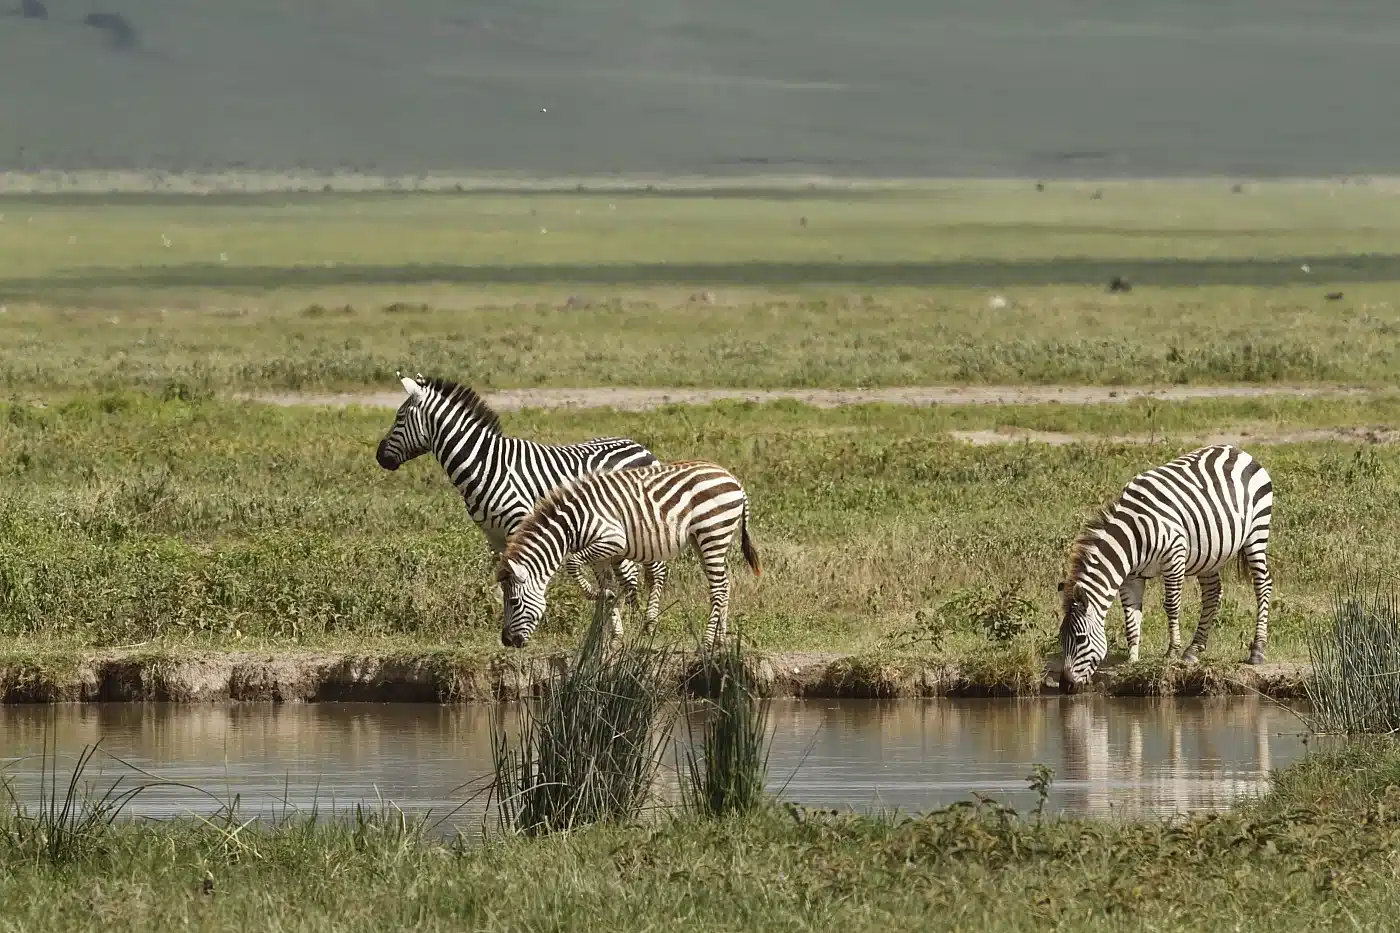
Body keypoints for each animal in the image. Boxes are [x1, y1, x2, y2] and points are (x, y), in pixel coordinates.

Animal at [375, 372, 669, 633]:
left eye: (399, 417)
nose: (379, 457)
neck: (485, 465)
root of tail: (641, 447)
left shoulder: (520, 522)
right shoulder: (492, 535)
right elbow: (503, 574)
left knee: (654, 571)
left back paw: (648, 623)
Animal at [501, 456, 767, 647]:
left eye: (513, 601)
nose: (507, 641)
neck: (572, 523)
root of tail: (734, 480)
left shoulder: (612, 540)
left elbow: (572, 563)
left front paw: (593, 594)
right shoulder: (604, 556)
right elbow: (608, 589)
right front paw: (614, 630)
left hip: (712, 533)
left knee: (719, 588)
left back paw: (708, 640)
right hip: (702, 540)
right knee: (726, 584)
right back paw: (721, 638)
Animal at [1052, 442, 1276, 689]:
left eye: (1080, 639)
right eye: (1061, 639)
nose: (1065, 686)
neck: (1132, 538)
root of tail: (1237, 450)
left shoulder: (1174, 559)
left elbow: (1171, 606)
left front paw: (1171, 652)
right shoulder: (1131, 577)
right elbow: (1131, 616)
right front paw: (1132, 660)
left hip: (1257, 531)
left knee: (1263, 585)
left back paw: (1257, 650)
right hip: (1210, 553)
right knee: (1212, 593)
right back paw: (1193, 650)